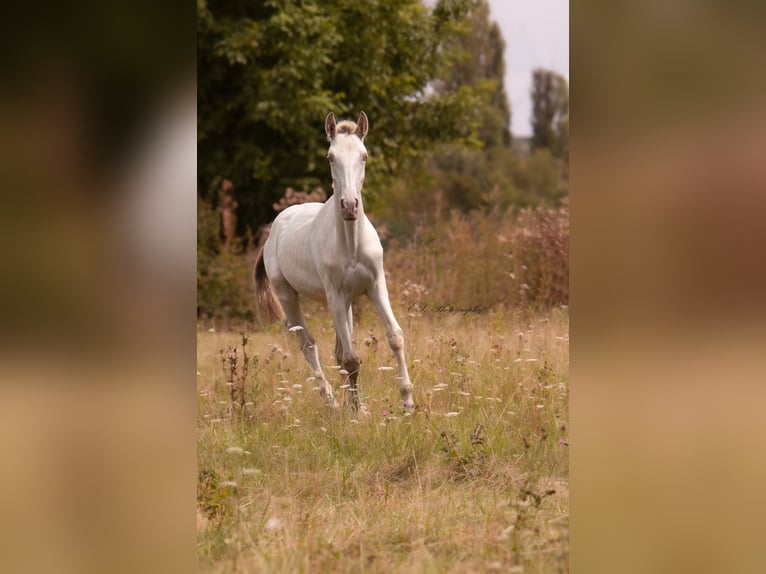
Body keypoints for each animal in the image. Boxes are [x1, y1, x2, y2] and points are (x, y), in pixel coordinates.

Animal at [255, 110, 414, 412]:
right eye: (331, 157)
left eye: (364, 155)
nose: (349, 206)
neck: (351, 245)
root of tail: (275, 229)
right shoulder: (335, 294)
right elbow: (350, 358)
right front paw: (355, 411)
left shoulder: (375, 286)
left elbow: (395, 337)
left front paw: (408, 402)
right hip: (290, 296)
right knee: (308, 345)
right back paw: (330, 401)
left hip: (347, 301)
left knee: (338, 350)